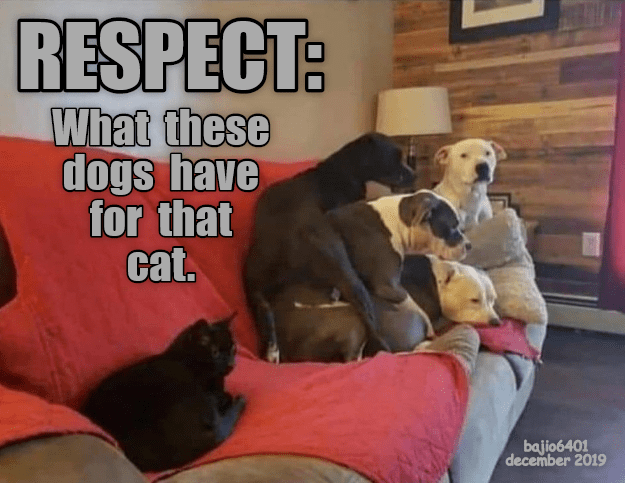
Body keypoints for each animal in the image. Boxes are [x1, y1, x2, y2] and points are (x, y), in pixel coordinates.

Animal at [245, 133, 415, 362]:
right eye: (395, 157)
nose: (414, 175)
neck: (345, 168)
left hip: (253, 282)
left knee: (264, 312)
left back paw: (271, 350)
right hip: (344, 269)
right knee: (369, 320)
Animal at [266, 190, 470, 363]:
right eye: (452, 228)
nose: (469, 245)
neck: (398, 223)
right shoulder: (389, 286)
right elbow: (417, 308)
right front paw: (429, 329)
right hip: (352, 315)